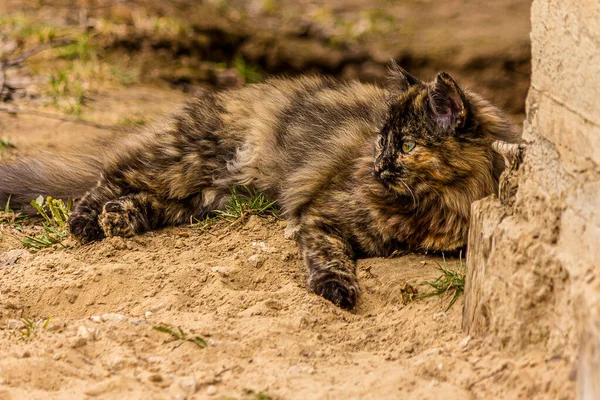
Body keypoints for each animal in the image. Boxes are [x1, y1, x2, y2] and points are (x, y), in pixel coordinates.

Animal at [0, 63, 516, 310]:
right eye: (381, 140)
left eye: (405, 145)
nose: (376, 166)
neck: (437, 204)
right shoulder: (320, 216)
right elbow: (332, 257)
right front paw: (336, 289)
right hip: (180, 163)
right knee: (109, 177)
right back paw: (88, 223)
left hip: (201, 197)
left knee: (147, 202)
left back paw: (119, 220)